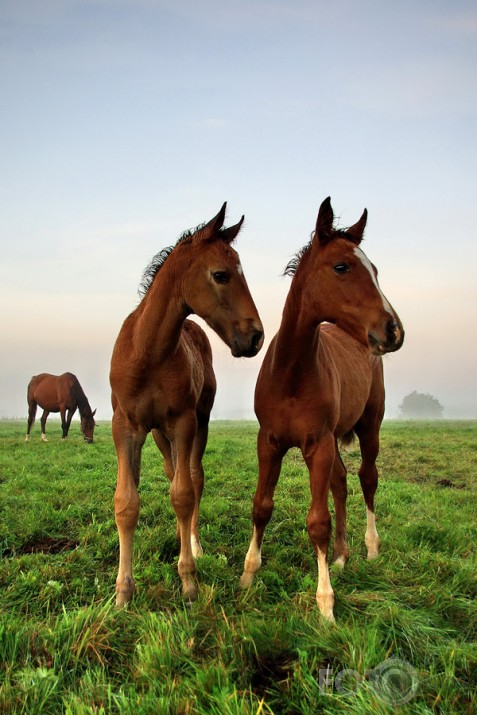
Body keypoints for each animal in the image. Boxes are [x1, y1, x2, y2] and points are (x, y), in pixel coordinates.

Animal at [109, 204, 262, 608]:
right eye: (221, 275)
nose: (256, 336)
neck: (147, 352)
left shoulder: (184, 422)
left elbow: (184, 494)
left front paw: (189, 580)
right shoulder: (125, 425)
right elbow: (126, 503)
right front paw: (122, 593)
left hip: (198, 424)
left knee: (193, 477)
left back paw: (192, 545)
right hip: (159, 434)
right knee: (171, 470)